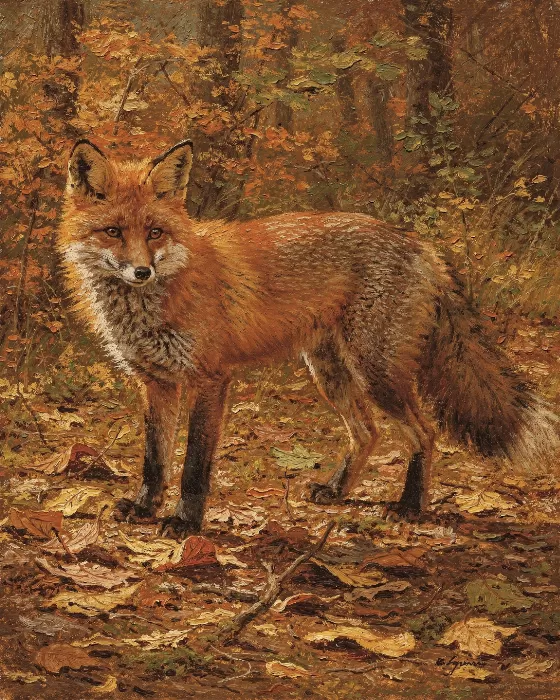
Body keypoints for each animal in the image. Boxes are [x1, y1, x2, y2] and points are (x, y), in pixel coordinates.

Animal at [58, 139, 558, 536]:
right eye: (113, 232)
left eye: (155, 232)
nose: (142, 272)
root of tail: (418, 244)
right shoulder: (156, 382)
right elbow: (155, 458)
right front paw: (144, 508)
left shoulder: (210, 379)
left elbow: (194, 465)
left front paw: (185, 521)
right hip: (330, 373)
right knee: (368, 433)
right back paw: (337, 491)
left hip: (376, 371)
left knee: (424, 432)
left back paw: (409, 507)